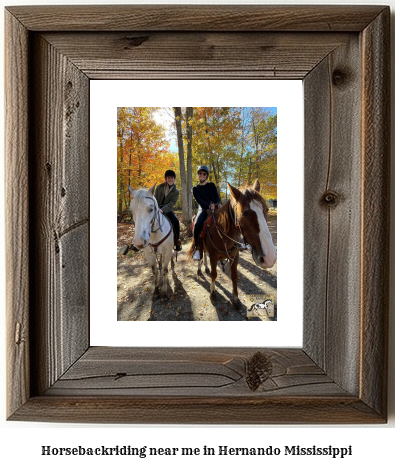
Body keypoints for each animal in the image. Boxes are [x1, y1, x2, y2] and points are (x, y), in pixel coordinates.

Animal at [188, 180, 276, 312]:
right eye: (244, 213)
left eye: (266, 209)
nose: (269, 258)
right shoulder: (213, 257)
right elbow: (214, 275)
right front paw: (212, 294)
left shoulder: (234, 256)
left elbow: (234, 277)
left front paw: (236, 300)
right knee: (200, 253)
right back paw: (199, 270)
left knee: (204, 253)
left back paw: (205, 267)